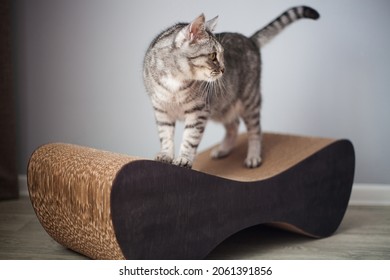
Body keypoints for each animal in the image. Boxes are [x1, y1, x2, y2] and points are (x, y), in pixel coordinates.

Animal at [143, 6, 320, 168]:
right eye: (213, 56)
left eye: (223, 54)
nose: (224, 69)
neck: (176, 83)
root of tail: (249, 39)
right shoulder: (161, 111)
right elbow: (165, 136)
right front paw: (165, 155)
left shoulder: (198, 112)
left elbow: (190, 138)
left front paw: (184, 159)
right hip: (222, 107)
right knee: (234, 126)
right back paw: (223, 150)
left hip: (249, 100)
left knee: (255, 130)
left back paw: (253, 157)